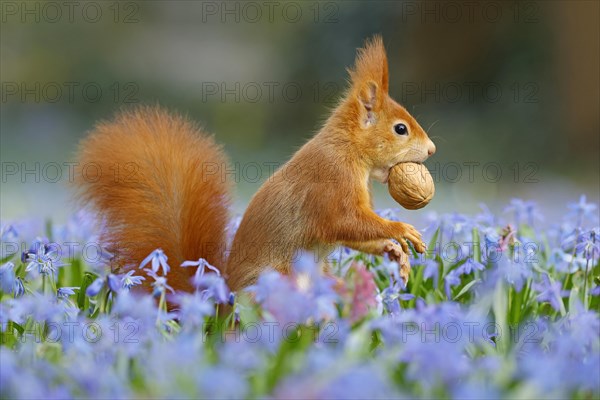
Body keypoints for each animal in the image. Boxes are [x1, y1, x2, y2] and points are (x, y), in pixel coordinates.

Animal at [76, 36, 436, 292]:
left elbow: (350, 232)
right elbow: (344, 221)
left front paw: (392, 250)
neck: (349, 151)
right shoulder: (331, 184)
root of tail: (222, 308)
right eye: (400, 129)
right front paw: (401, 231)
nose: (432, 150)